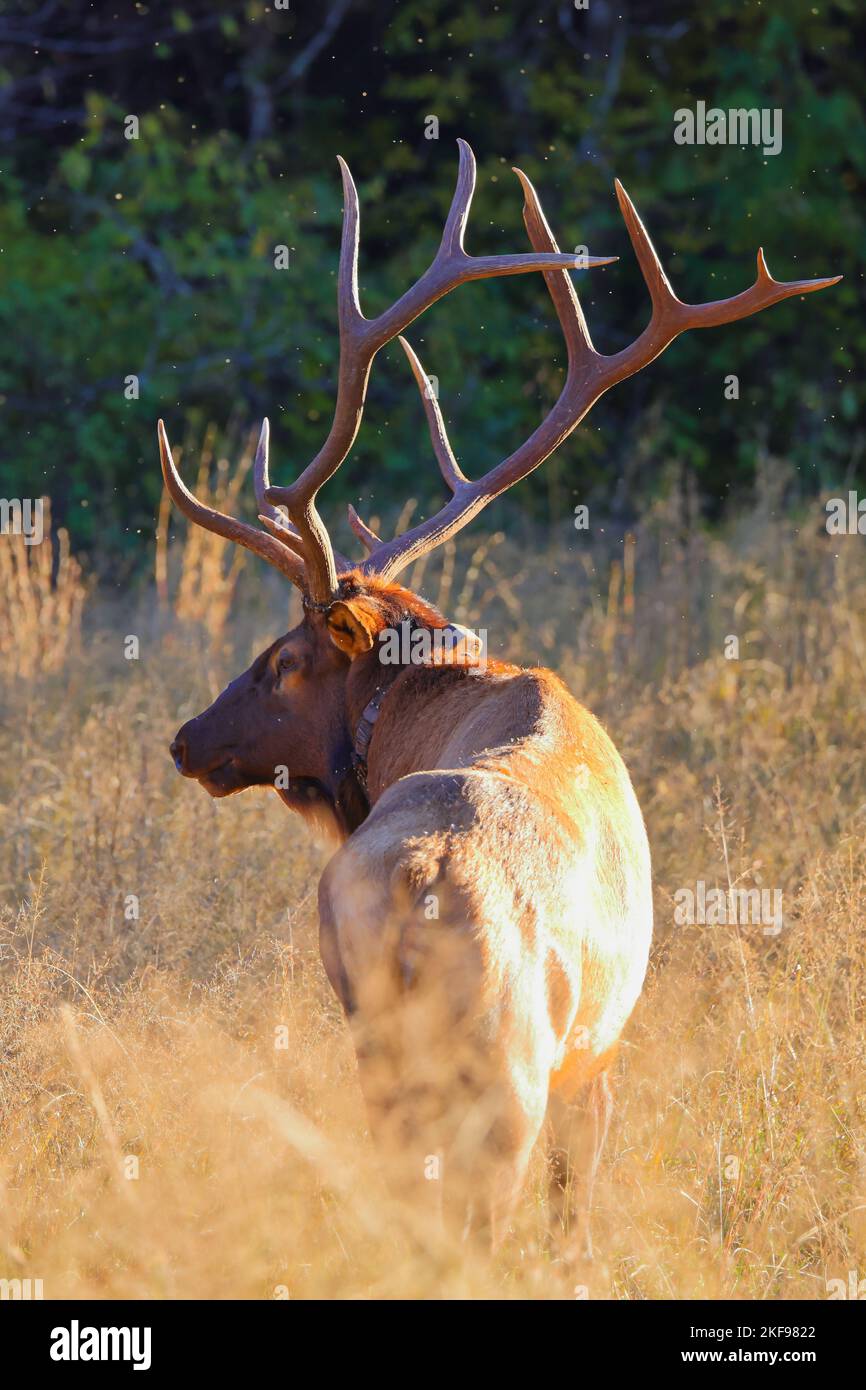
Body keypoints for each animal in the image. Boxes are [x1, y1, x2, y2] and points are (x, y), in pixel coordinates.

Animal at [162, 146, 839, 1256]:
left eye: (281, 660)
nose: (185, 739)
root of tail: (421, 879)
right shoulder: (600, 1048)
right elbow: (575, 1219)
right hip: (514, 1055)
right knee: (482, 1217)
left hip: (383, 1046)